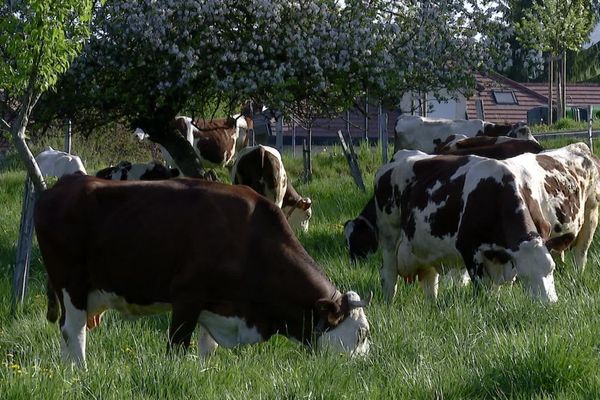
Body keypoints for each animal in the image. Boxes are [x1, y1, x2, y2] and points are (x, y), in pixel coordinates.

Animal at [35, 175, 370, 368]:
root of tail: (62, 184)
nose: (366, 366)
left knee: (67, 332)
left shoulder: (217, 304)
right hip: (71, 284)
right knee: (74, 331)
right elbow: (176, 347)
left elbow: (207, 348)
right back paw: (81, 373)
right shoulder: (187, 298)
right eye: (361, 334)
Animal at [376, 144, 600, 304]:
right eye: (525, 276)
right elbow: (483, 290)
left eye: (551, 269)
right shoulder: (470, 251)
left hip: (591, 215)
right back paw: (389, 303)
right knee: (389, 276)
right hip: (388, 236)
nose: (550, 304)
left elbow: (499, 287)